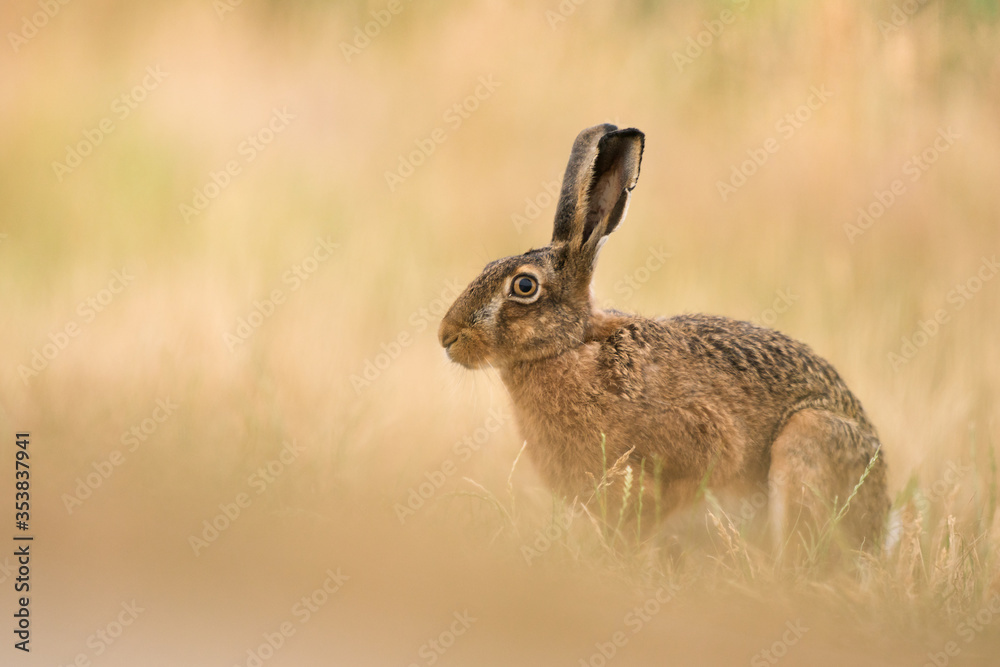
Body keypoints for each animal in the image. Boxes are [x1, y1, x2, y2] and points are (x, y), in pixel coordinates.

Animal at [438, 123, 889, 552]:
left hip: (809, 437)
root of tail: (883, 523)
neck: (573, 346)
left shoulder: (705, 442)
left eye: (524, 286)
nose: (447, 336)